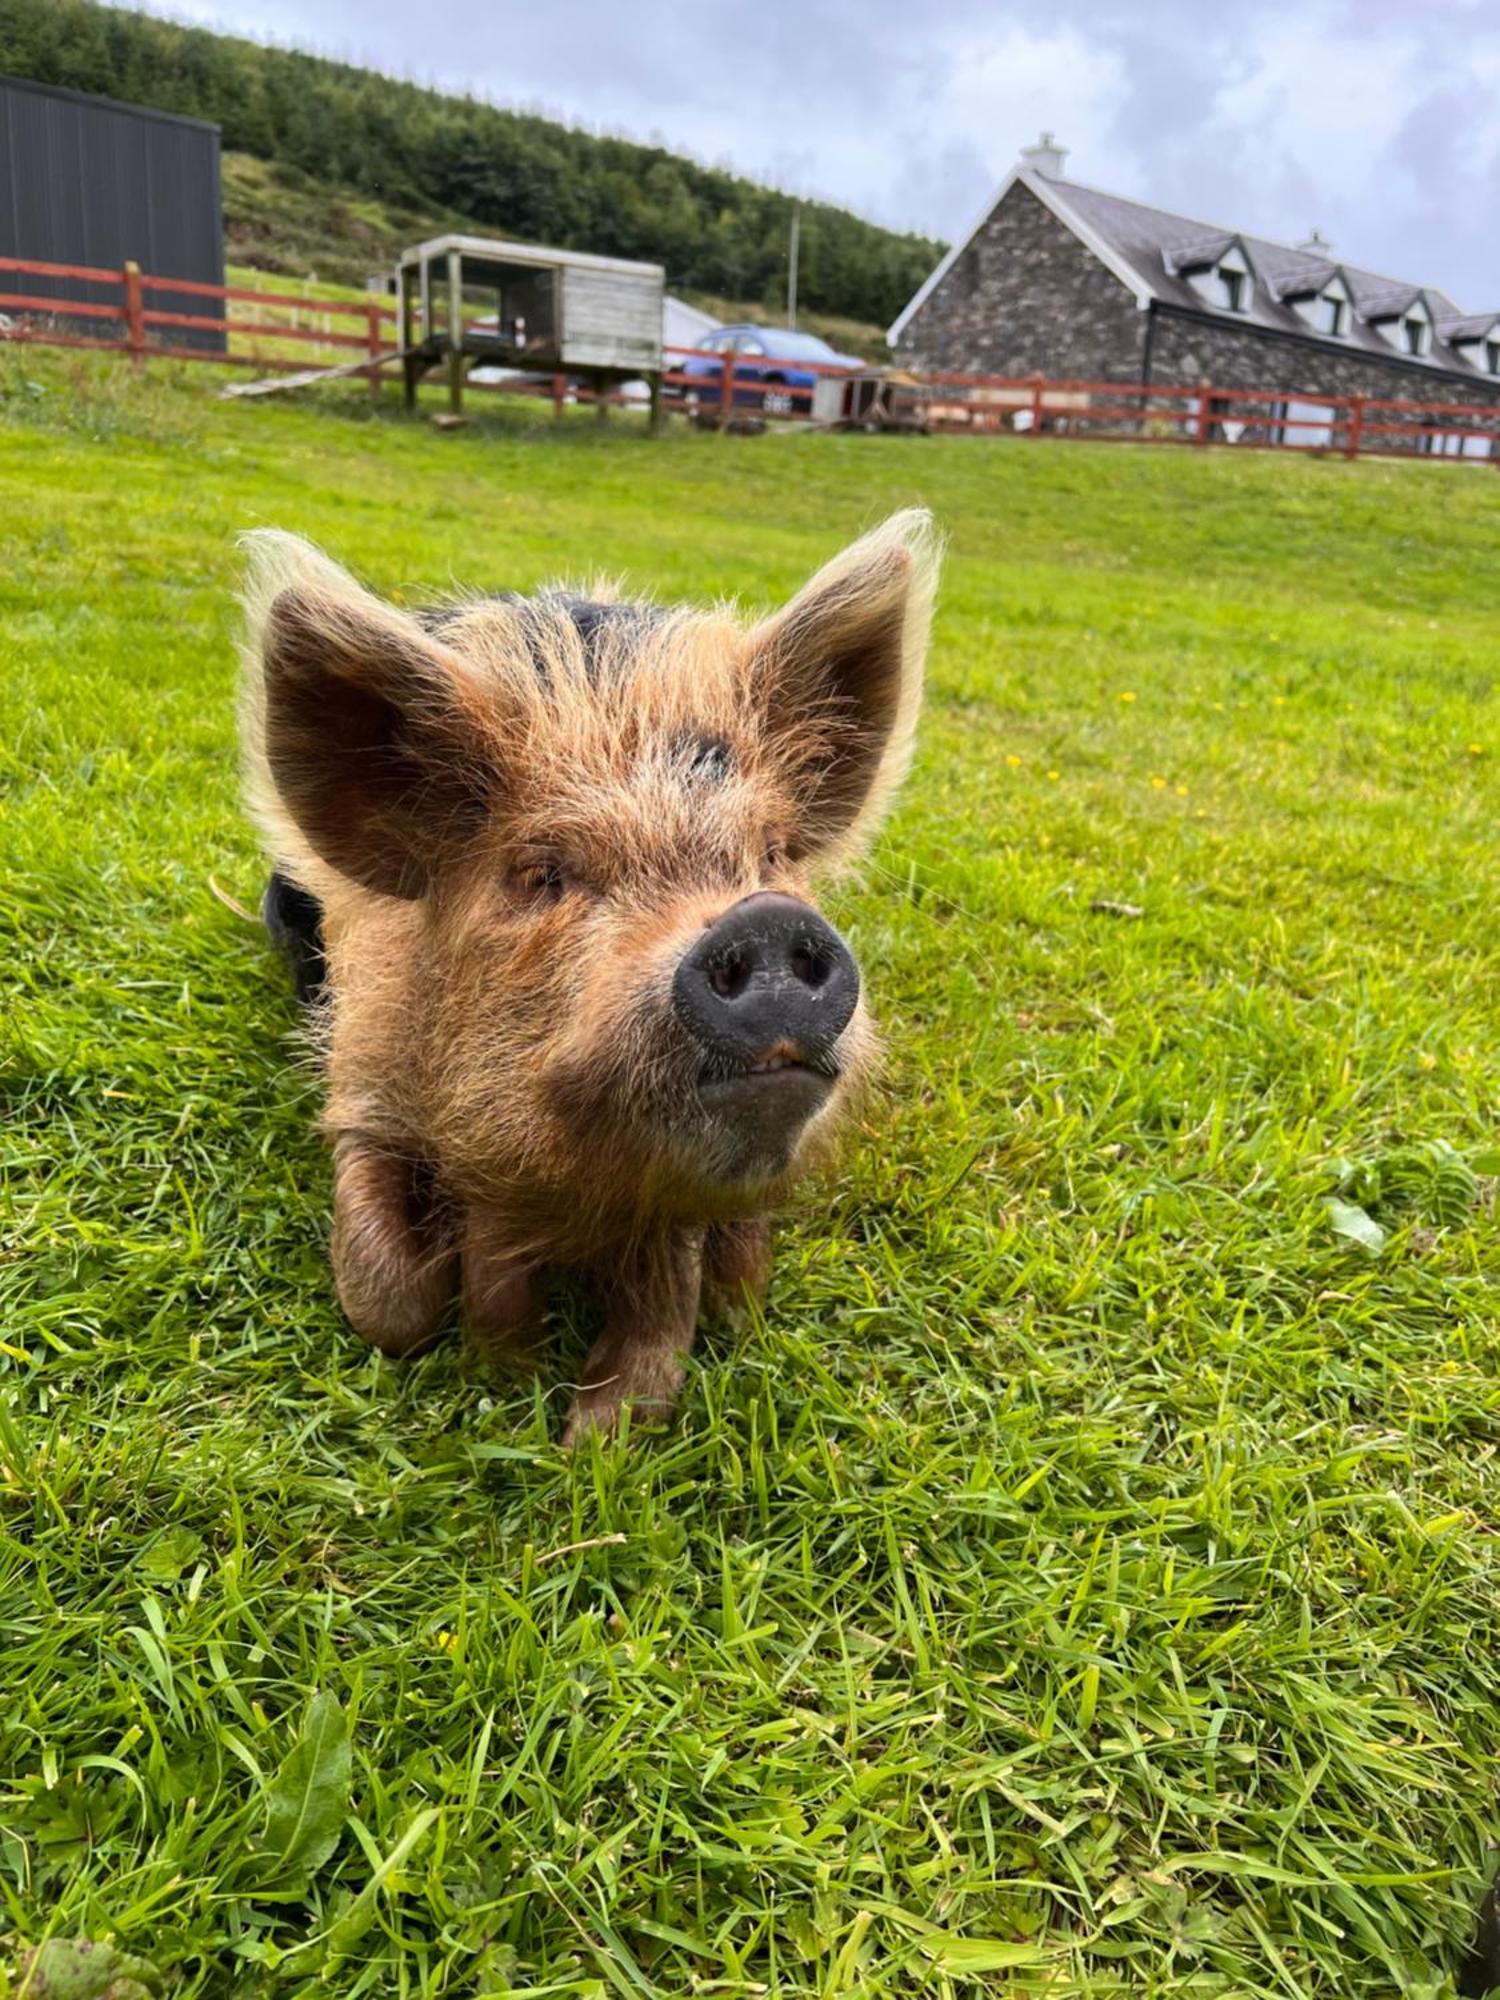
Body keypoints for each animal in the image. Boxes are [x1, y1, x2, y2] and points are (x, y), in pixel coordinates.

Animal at [241, 504, 944, 1440]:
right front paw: (502, 1358)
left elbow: (670, 1303)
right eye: (541, 874)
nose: (763, 921)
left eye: (770, 855)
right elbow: (386, 1297)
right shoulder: (357, 1073)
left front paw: (590, 1431)